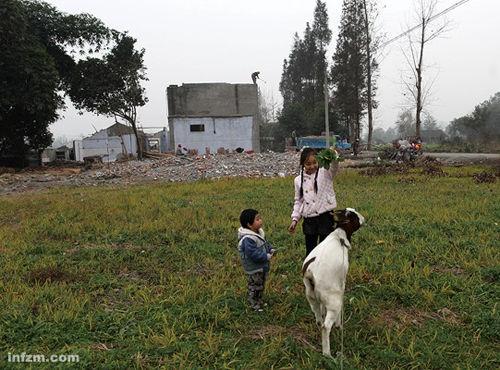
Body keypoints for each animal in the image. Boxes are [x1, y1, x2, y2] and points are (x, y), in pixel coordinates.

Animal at [302, 208, 366, 356]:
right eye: (355, 216)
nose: (363, 219)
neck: (339, 237)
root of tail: (310, 275)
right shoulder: (341, 281)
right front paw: (339, 325)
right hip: (333, 302)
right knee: (326, 327)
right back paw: (327, 354)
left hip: (311, 297)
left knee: (319, 318)